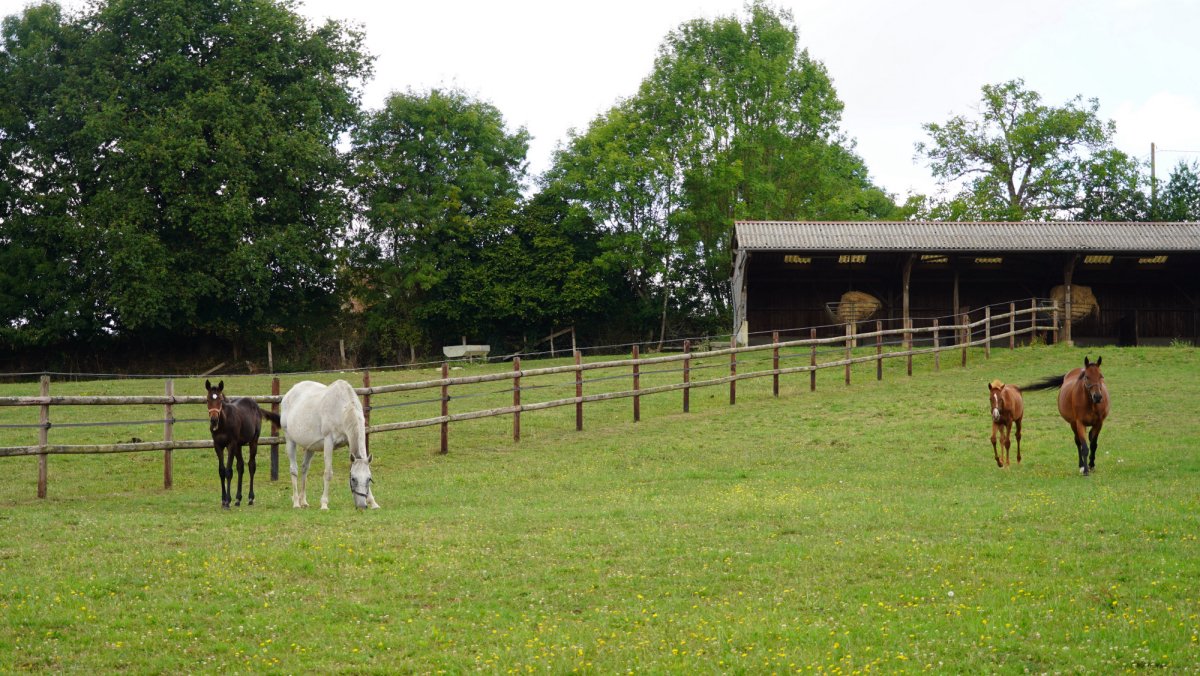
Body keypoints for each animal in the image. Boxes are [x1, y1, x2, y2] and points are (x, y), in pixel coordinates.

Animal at [204, 379, 280, 508]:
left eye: (220, 400)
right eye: (208, 400)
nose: (214, 420)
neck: (223, 422)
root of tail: (257, 406)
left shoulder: (230, 444)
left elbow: (228, 471)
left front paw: (227, 501)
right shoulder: (218, 445)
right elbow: (221, 471)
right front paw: (224, 500)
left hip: (253, 441)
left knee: (251, 465)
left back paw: (250, 498)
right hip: (238, 445)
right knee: (240, 466)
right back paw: (238, 499)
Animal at [278, 379, 379, 510]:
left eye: (369, 479)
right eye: (353, 479)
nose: (362, 506)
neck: (342, 408)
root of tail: (289, 393)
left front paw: (373, 503)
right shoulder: (328, 441)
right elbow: (328, 473)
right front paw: (324, 504)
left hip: (310, 447)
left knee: (305, 468)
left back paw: (303, 501)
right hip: (290, 440)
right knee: (294, 470)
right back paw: (296, 503)